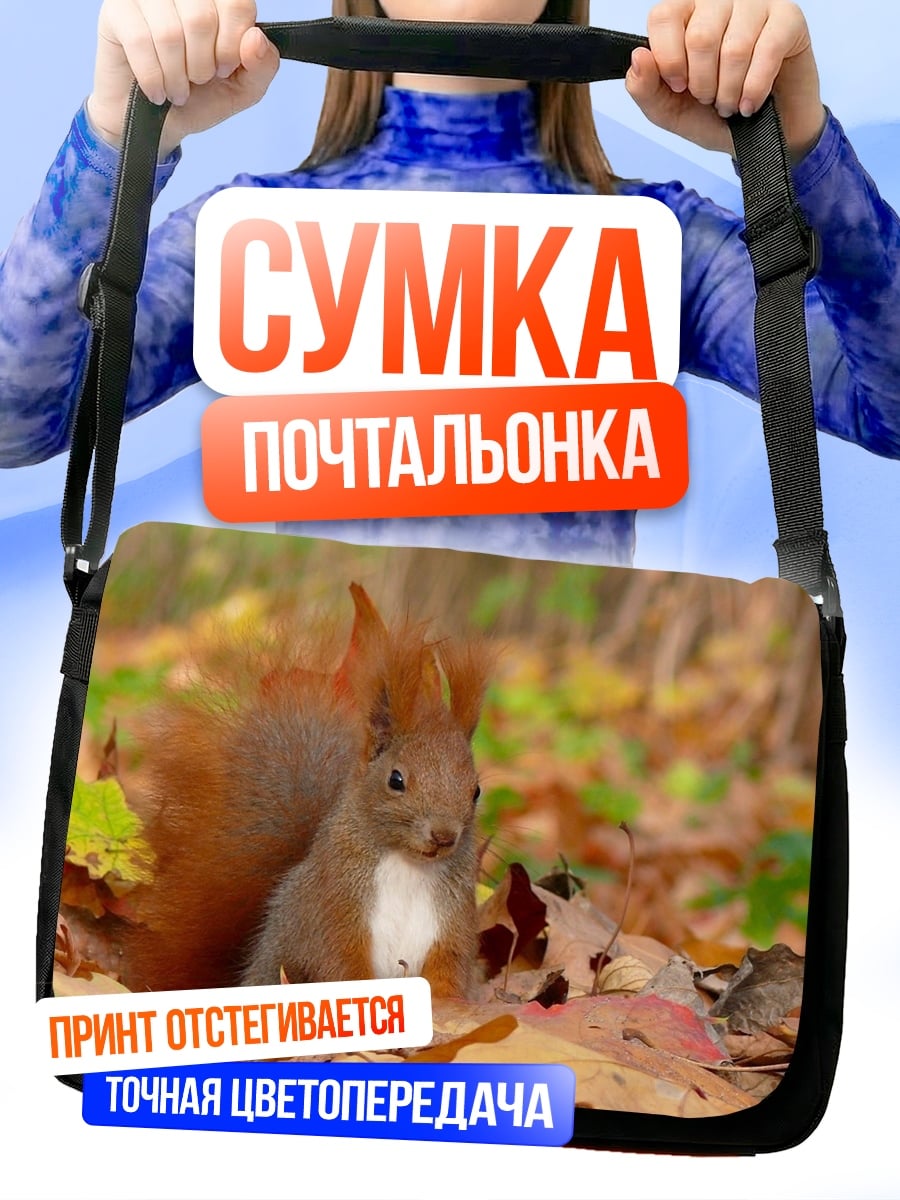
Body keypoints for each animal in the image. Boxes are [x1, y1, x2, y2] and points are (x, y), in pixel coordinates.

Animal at [118, 583, 492, 1000]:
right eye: (396, 780)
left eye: (475, 790)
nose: (443, 836)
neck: (408, 866)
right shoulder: (333, 913)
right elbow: (341, 966)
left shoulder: (452, 927)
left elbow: (448, 975)